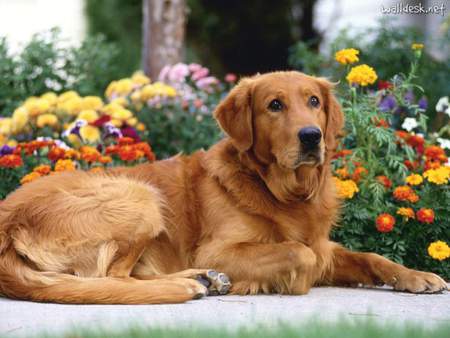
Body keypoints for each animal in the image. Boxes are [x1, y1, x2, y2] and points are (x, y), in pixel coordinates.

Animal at [0, 71, 446, 304]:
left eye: (314, 101)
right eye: (274, 105)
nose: (311, 136)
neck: (281, 191)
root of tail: (8, 220)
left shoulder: (323, 243)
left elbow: (369, 255)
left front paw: (417, 275)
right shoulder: (220, 248)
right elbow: (299, 254)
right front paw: (287, 281)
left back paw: (205, 279)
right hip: (139, 196)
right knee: (109, 280)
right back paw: (187, 284)